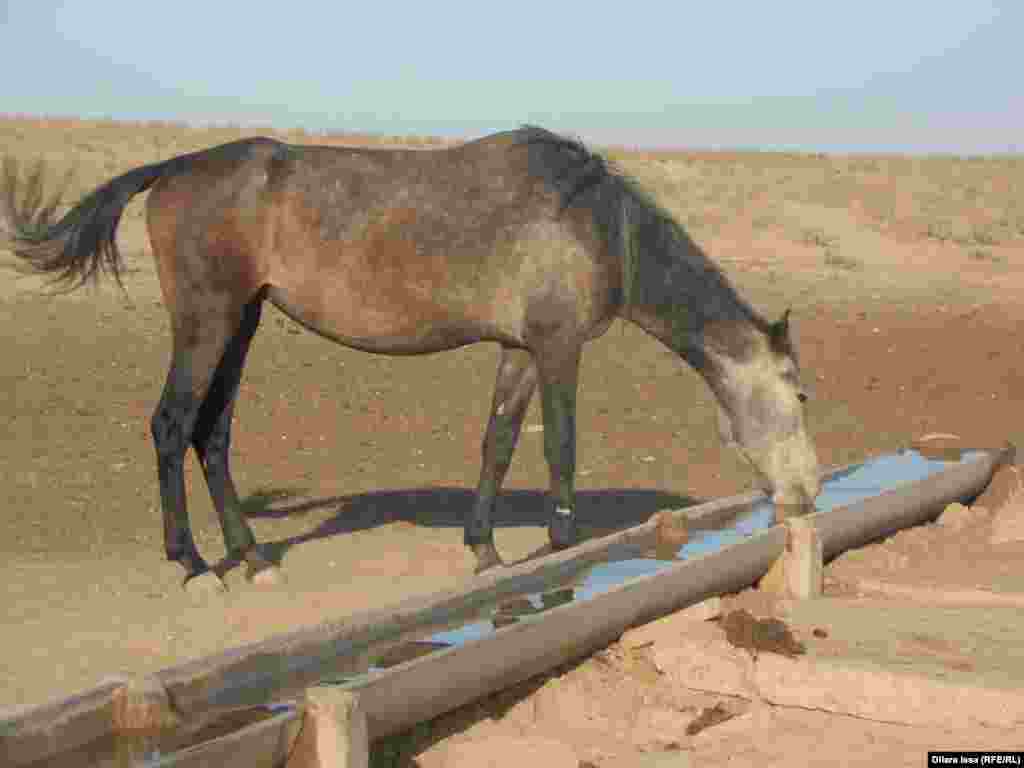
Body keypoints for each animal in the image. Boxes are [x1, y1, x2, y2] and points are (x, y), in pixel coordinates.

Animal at [0, 129, 815, 593]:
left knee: (213, 433)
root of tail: (173, 168)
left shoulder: (519, 350)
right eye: (800, 394)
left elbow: (498, 443)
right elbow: (560, 448)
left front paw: (485, 550)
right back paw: (194, 565)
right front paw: (560, 547)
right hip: (206, 320)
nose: (807, 490)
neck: (599, 224)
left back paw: (252, 556)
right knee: (172, 426)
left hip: (242, 320)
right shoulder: (558, 348)